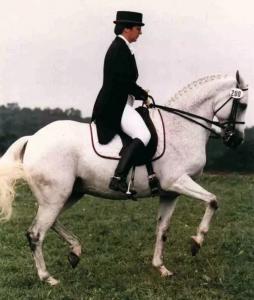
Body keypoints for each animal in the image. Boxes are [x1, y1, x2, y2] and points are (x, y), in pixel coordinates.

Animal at [0, 71, 248, 286]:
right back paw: (48, 277)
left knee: (51, 223)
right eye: (243, 105)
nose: (236, 140)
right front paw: (196, 243)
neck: (180, 128)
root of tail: (33, 138)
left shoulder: (170, 193)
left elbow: (163, 230)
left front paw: (161, 267)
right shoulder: (178, 181)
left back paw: (75, 251)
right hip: (55, 196)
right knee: (36, 233)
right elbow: (213, 200)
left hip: (70, 194)